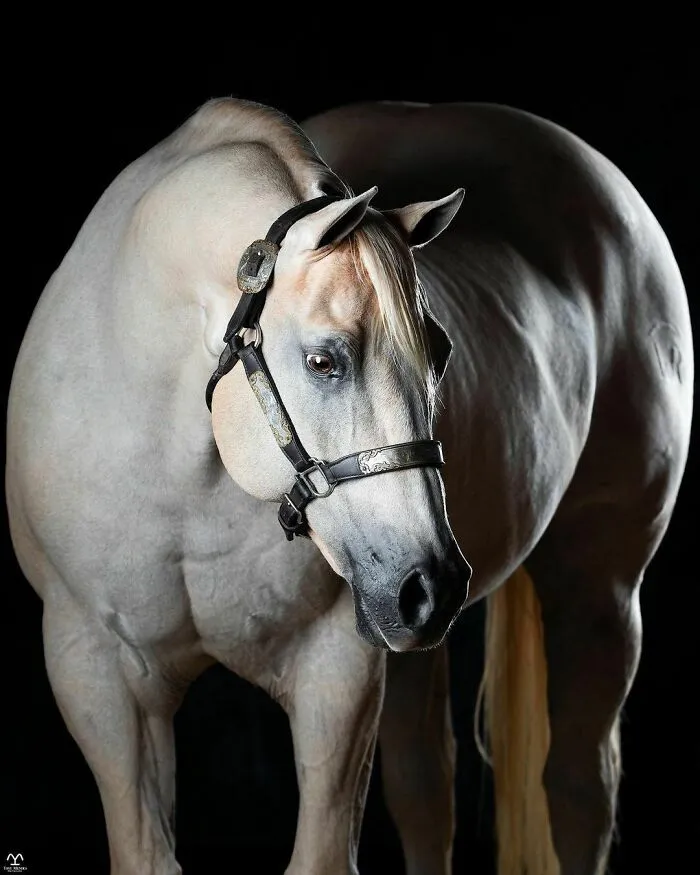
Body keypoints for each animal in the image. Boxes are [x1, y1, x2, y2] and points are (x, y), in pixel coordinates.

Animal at [5, 96, 692, 875]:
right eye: (324, 360)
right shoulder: (98, 674)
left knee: (577, 787)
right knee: (427, 788)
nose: (433, 583)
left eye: (441, 352)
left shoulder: (336, 672)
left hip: (599, 591)